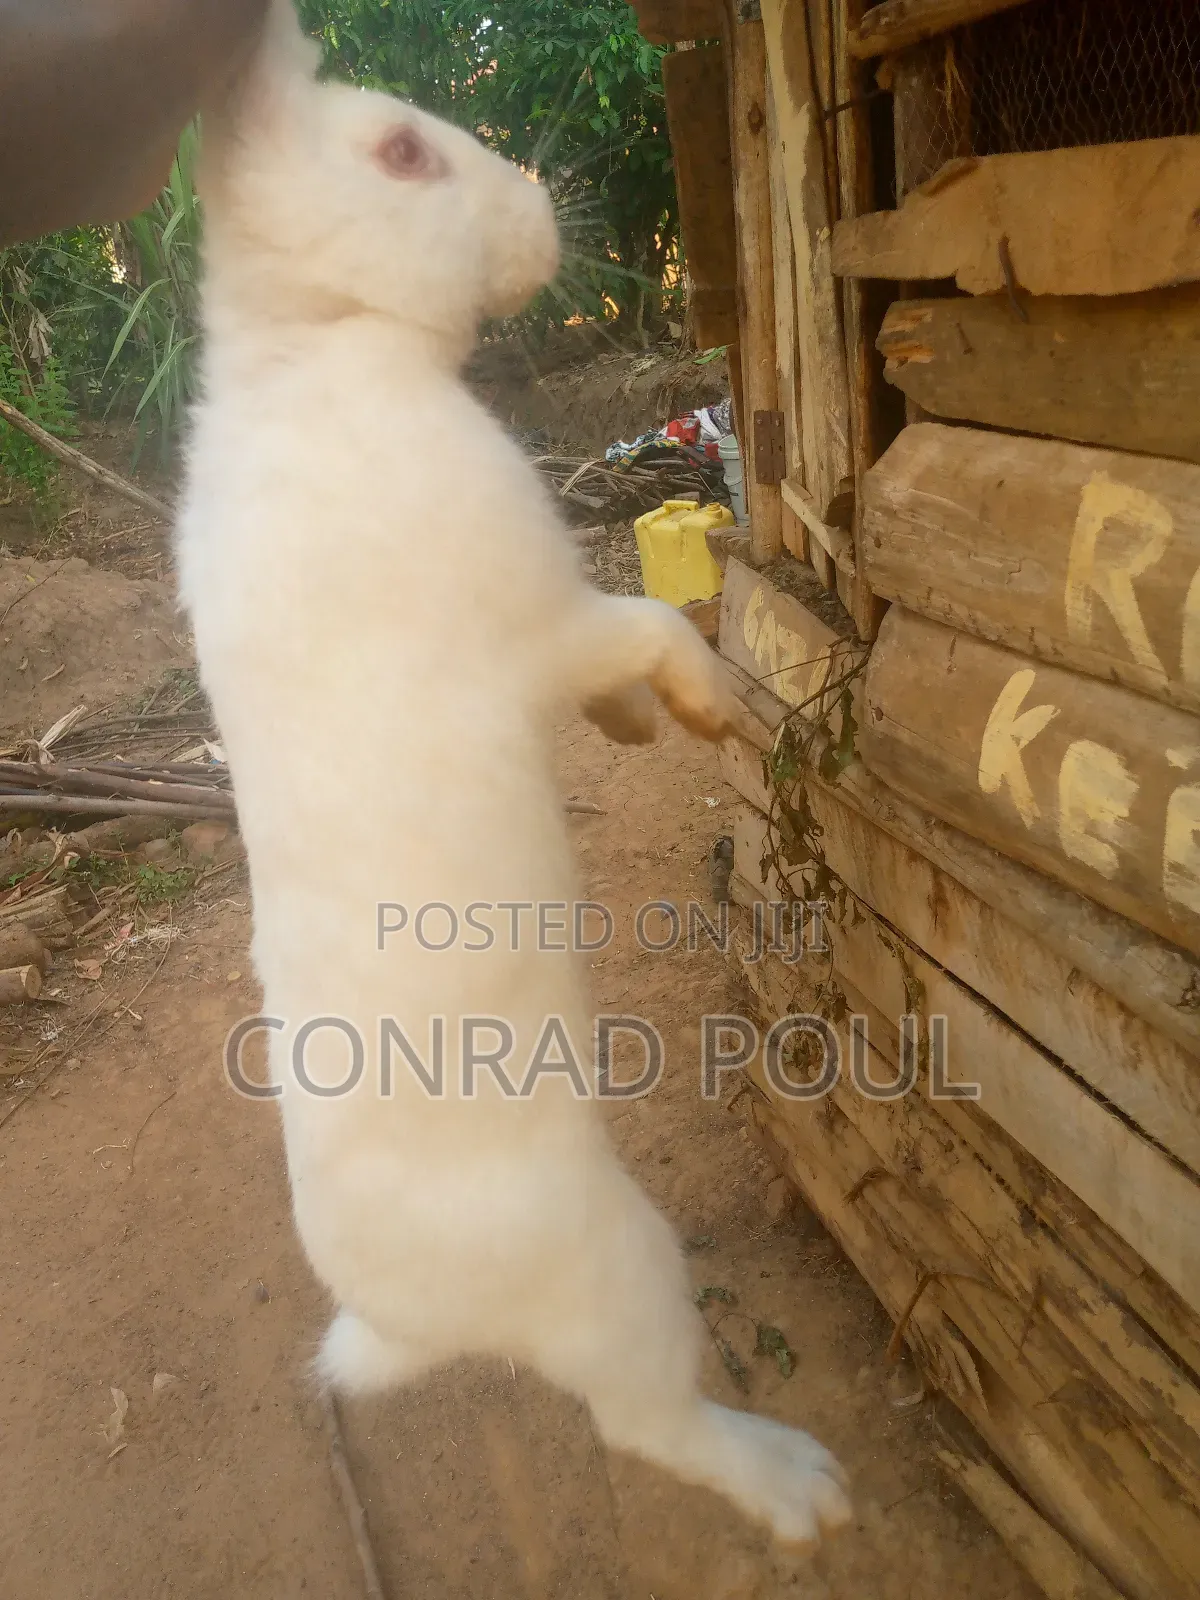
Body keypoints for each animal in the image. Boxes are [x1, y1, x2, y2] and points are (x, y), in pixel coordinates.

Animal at [176, 0, 850, 1550]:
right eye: (402, 153)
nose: (545, 205)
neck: (322, 337)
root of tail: (409, 1324)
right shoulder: (544, 621)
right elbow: (654, 629)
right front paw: (714, 717)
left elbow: (620, 673)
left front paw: (639, 735)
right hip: (621, 1271)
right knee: (652, 1423)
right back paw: (805, 1488)